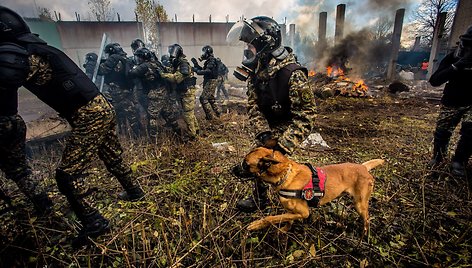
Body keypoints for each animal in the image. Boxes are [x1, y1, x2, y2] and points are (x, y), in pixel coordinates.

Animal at [234, 148, 386, 233]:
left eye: (245, 164)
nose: (232, 169)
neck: (286, 175)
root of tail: (363, 167)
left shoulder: (304, 212)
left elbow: (271, 218)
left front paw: (256, 225)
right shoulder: (292, 211)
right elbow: (286, 219)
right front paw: (284, 230)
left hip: (360, 204)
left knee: (367, 220)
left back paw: (364, 235)